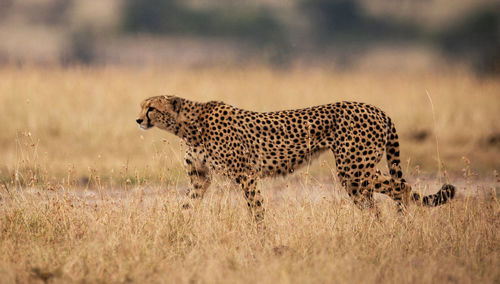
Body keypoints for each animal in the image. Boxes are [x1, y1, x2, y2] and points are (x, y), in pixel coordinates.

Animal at [135, 96, 456, 223]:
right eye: (142, 106)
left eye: (152, 108)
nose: (138, 120)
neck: (189, 125)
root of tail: (377, 109)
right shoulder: (199, 179)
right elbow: (187, 206)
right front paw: (176, 228)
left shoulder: (246, 174)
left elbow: (257, 209)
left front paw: (262, 239)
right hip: (358, 174)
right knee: (375, 203)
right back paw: (377, 230)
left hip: (354, 170)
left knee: (401, 188)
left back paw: (399, 226)